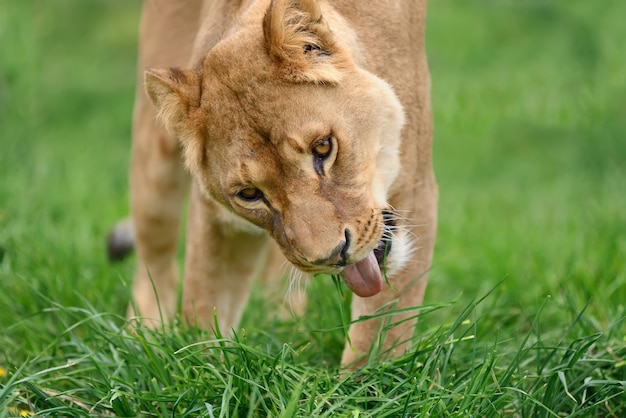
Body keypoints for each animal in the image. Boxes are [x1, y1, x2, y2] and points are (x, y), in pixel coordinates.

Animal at [114, 0, 436, 368]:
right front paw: (204, 371)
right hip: (155, 160)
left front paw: (363, 381)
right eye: (250, 194)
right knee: (155, 262)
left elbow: (381, 332)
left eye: (323, 147)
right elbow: (205, 300)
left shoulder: (416, 188)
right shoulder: (216, 220)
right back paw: (143, 338)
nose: (332, 256)